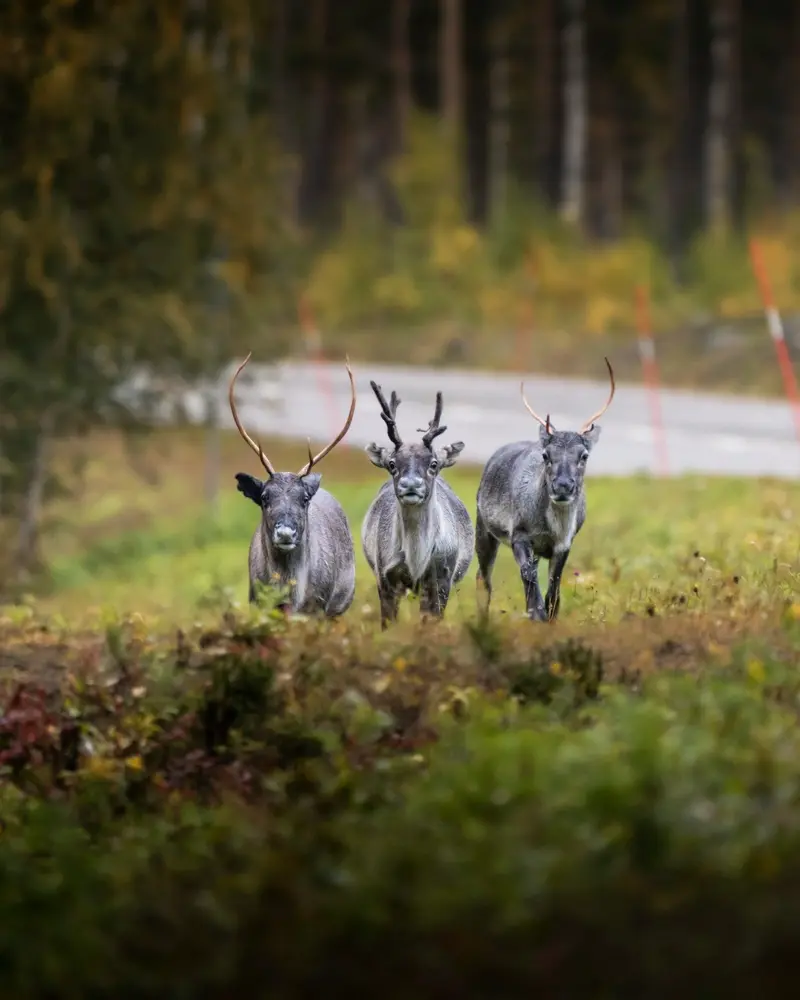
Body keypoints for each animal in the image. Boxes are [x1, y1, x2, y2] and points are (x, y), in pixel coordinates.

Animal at [228, 352, 357, 618]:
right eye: (264, 497)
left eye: (304, 498)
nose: (286, 533)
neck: (291, 597)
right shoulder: (257, 602)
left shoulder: (318, 608)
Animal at [361, 381, 475, 628]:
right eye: (392, 464)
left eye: (433, 464)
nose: (410, 484)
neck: (416, 560)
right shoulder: (385, 576)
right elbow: (387, 623)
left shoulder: (441, 577)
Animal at [475, 358, 616, 622]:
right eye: (546, 455)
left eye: (584, 455)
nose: (562, 486)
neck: (553, 527)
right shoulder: (519, 534)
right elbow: (530, 584)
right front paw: (536, 616)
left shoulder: (563, 544)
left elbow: (554, 592)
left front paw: (549, 619)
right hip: (484, 528)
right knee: (483, 578)